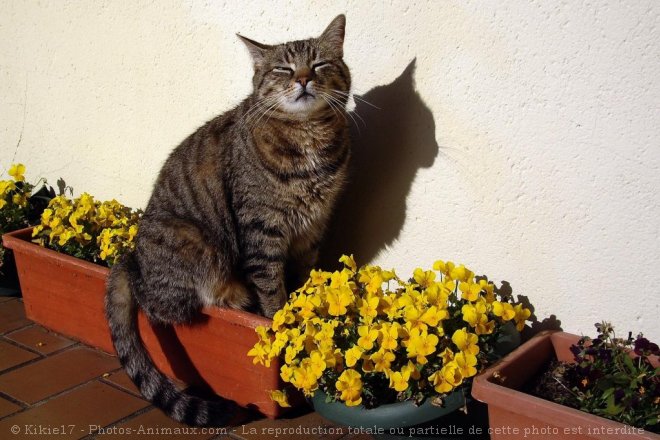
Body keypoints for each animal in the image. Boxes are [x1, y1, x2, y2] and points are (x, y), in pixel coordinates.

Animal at [104, 16, 350, 426]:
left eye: (319, 65)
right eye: (283, 69)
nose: (303, 79)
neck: (308, 139)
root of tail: (130, 257)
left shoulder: (313, 230)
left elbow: (302, 279)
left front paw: (303, 314)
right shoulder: (261, 229)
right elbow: (272, 288)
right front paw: (280, 320)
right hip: (196, 244)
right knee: (156, 302)